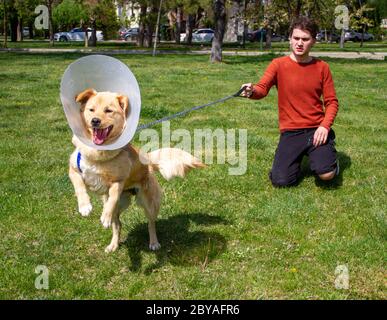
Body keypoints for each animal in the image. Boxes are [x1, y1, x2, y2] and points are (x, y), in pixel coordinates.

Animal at [69, 89, 206, 252]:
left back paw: (153, 242)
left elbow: (112, 197)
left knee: (151, 223)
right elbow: (79, 187)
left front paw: (104, 217)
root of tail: (147, 160)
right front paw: (84, 206)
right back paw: (113, 245)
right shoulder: (73, 170)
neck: (97, 154)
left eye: (108, 111)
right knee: (118, 224)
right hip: (121, 204)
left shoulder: (118, 181)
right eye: (91, 110)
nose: (95, 121)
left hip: (149, 203)